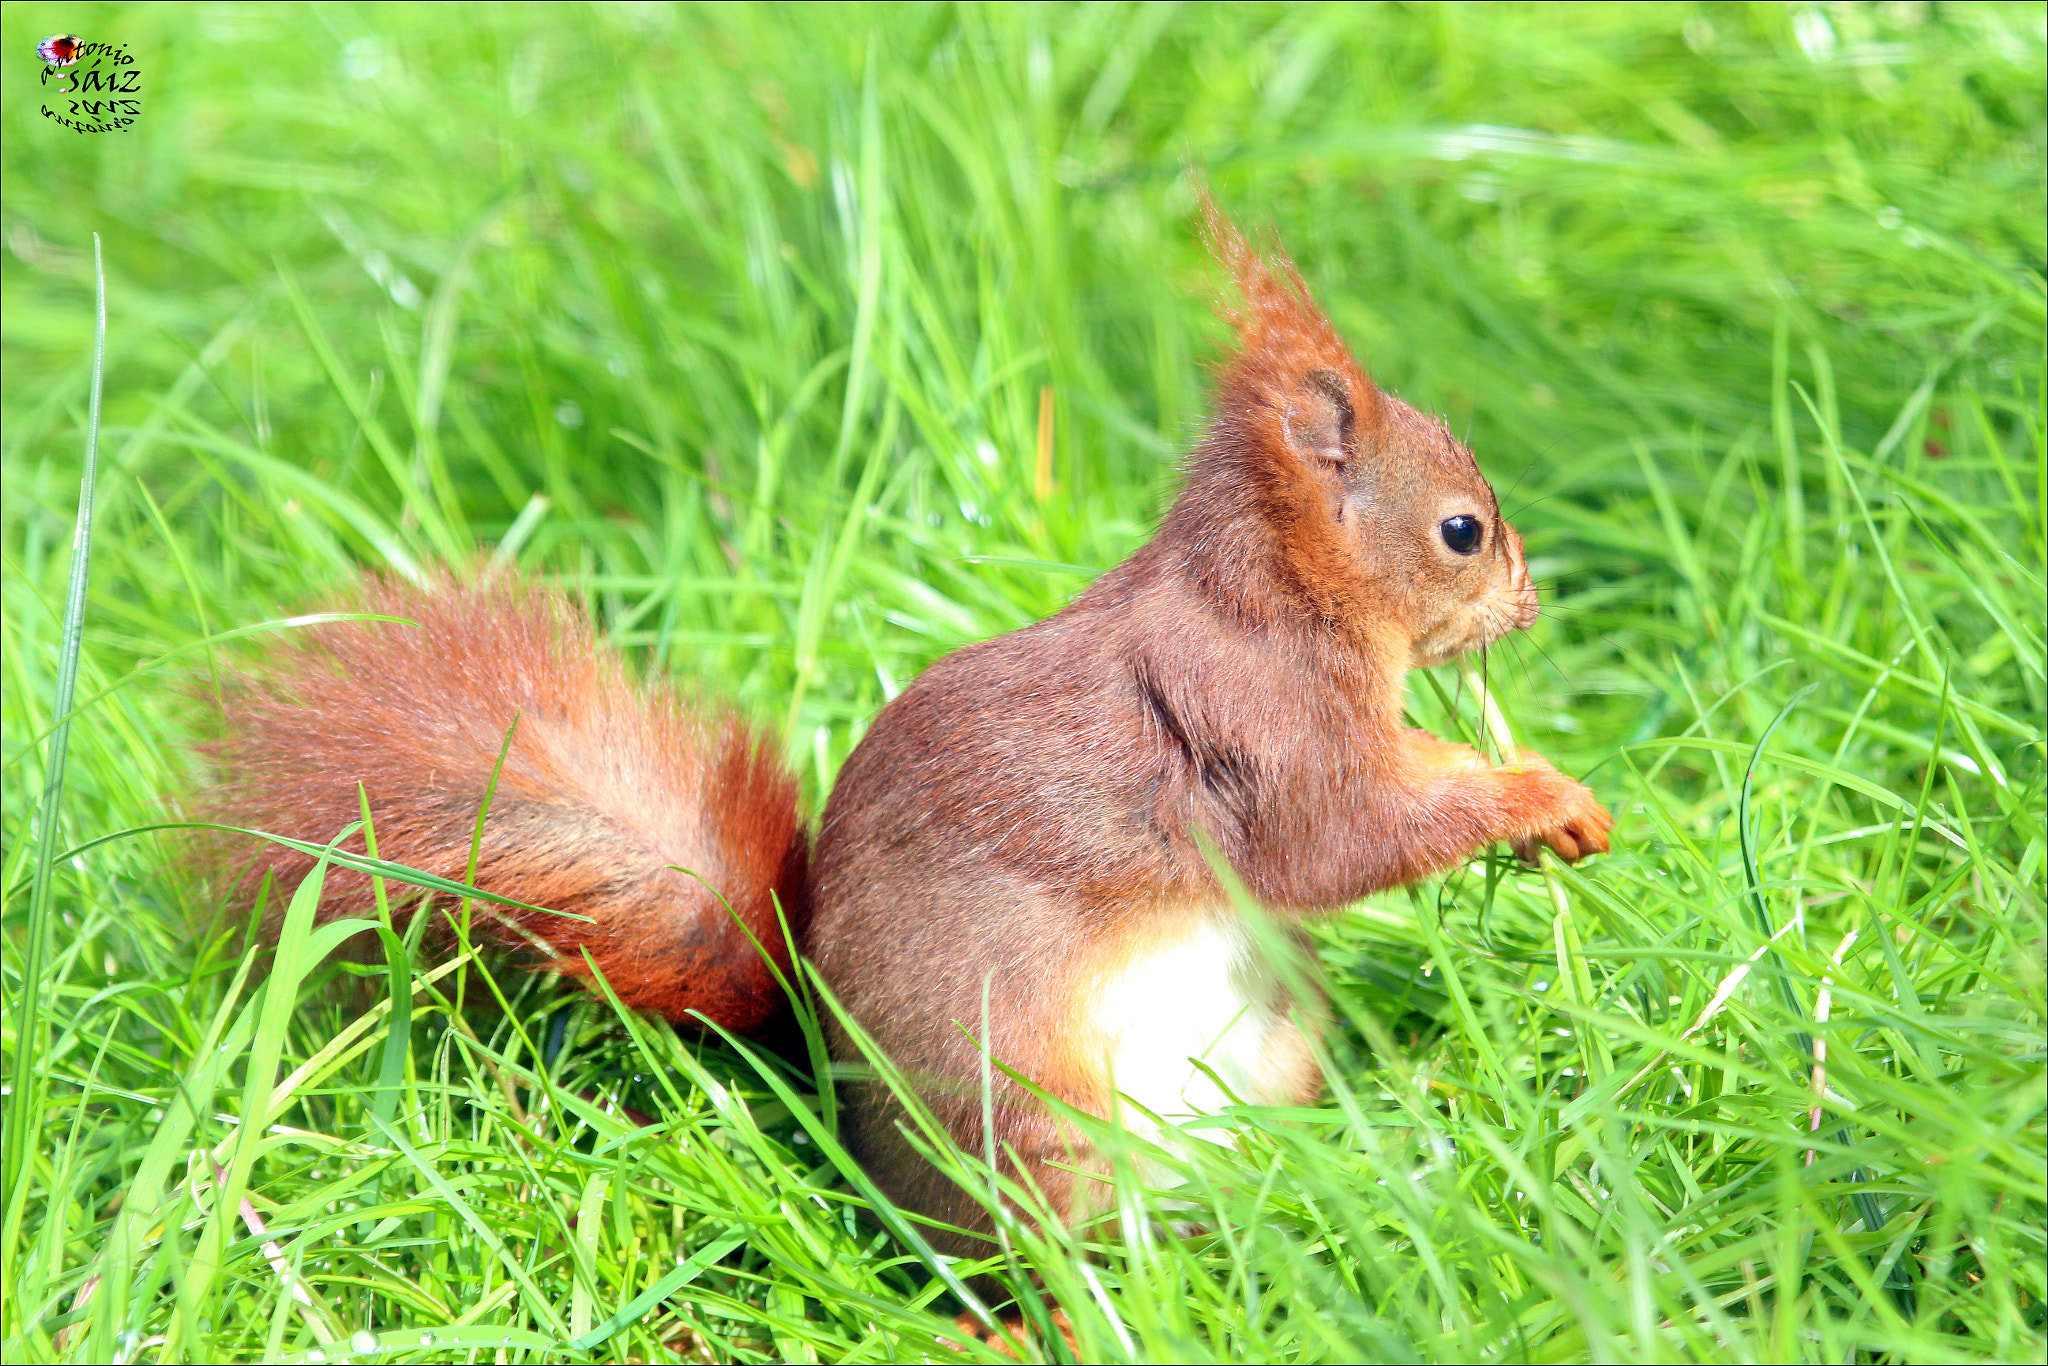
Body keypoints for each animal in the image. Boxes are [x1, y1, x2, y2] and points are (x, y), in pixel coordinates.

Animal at [205, 199, 1612, 1264]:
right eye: (1461, 531)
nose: (1533, 600)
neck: (1272, 599)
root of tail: (833, 1083)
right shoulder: (1258, 726)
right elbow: (1341, 838)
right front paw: (1536, 794)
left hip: (1265, 1041)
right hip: (1022, 1110)